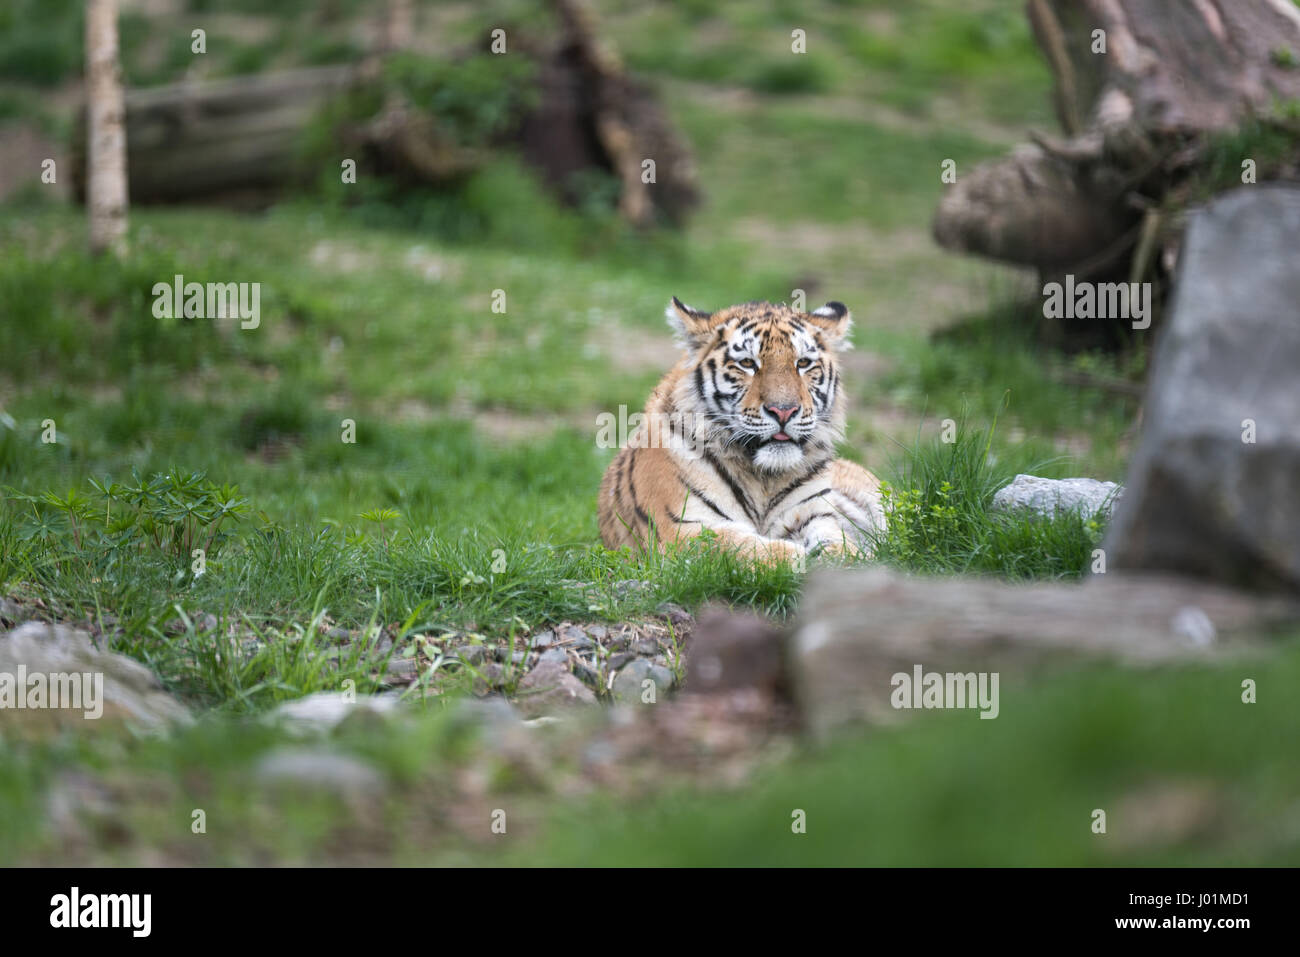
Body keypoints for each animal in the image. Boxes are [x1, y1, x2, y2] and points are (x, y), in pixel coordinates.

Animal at [595, 297, 883, 561]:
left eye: (803, 363)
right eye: (747, 363)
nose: (784, 410)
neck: (764, 479)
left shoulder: (816, 516)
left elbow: (841, 544)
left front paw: (849, 557)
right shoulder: (681, 529)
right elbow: (743, 546)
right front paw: (796, 555)